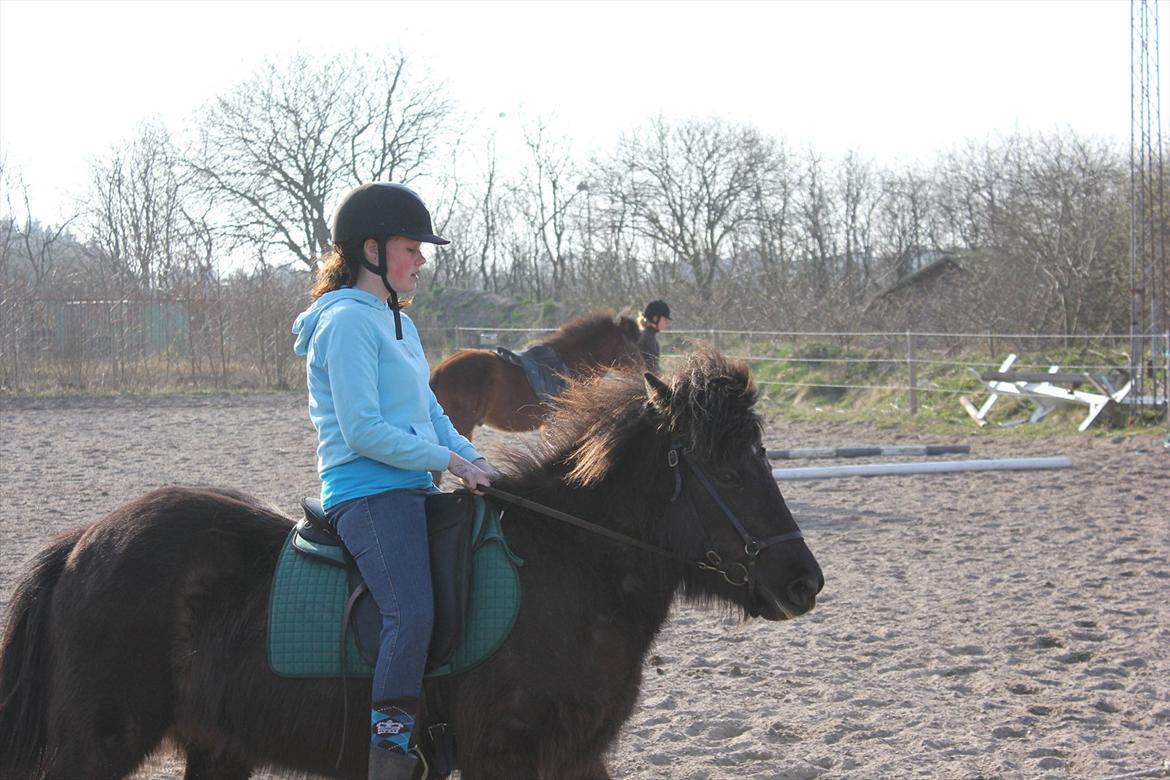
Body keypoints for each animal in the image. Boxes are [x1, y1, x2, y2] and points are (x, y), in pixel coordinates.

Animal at [0, 350, 823, 776]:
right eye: (733, 470)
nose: (804, 582)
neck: (566, 570)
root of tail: (81, 543)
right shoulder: (507, 757)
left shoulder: (574, 758)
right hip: (98, 747)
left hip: (218, 748)